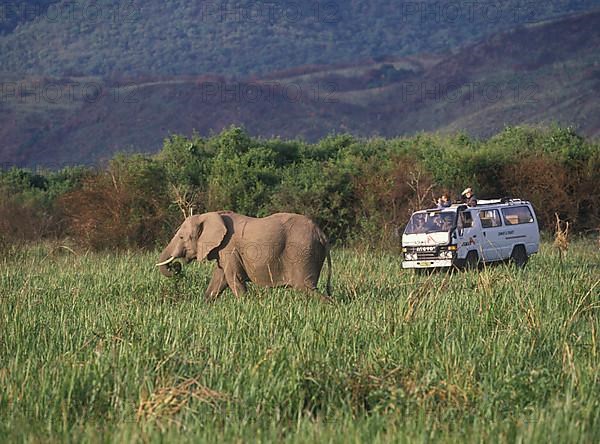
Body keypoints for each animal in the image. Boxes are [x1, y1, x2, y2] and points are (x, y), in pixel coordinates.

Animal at [155, 212, 332, 302]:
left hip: (302, 254)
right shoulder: (223, 252)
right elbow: (219, 280)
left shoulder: (229, 248)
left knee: (306, 288)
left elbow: (234, 279)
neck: (209, 215)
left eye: (182, 237)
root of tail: (322, 234)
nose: (176, 266)